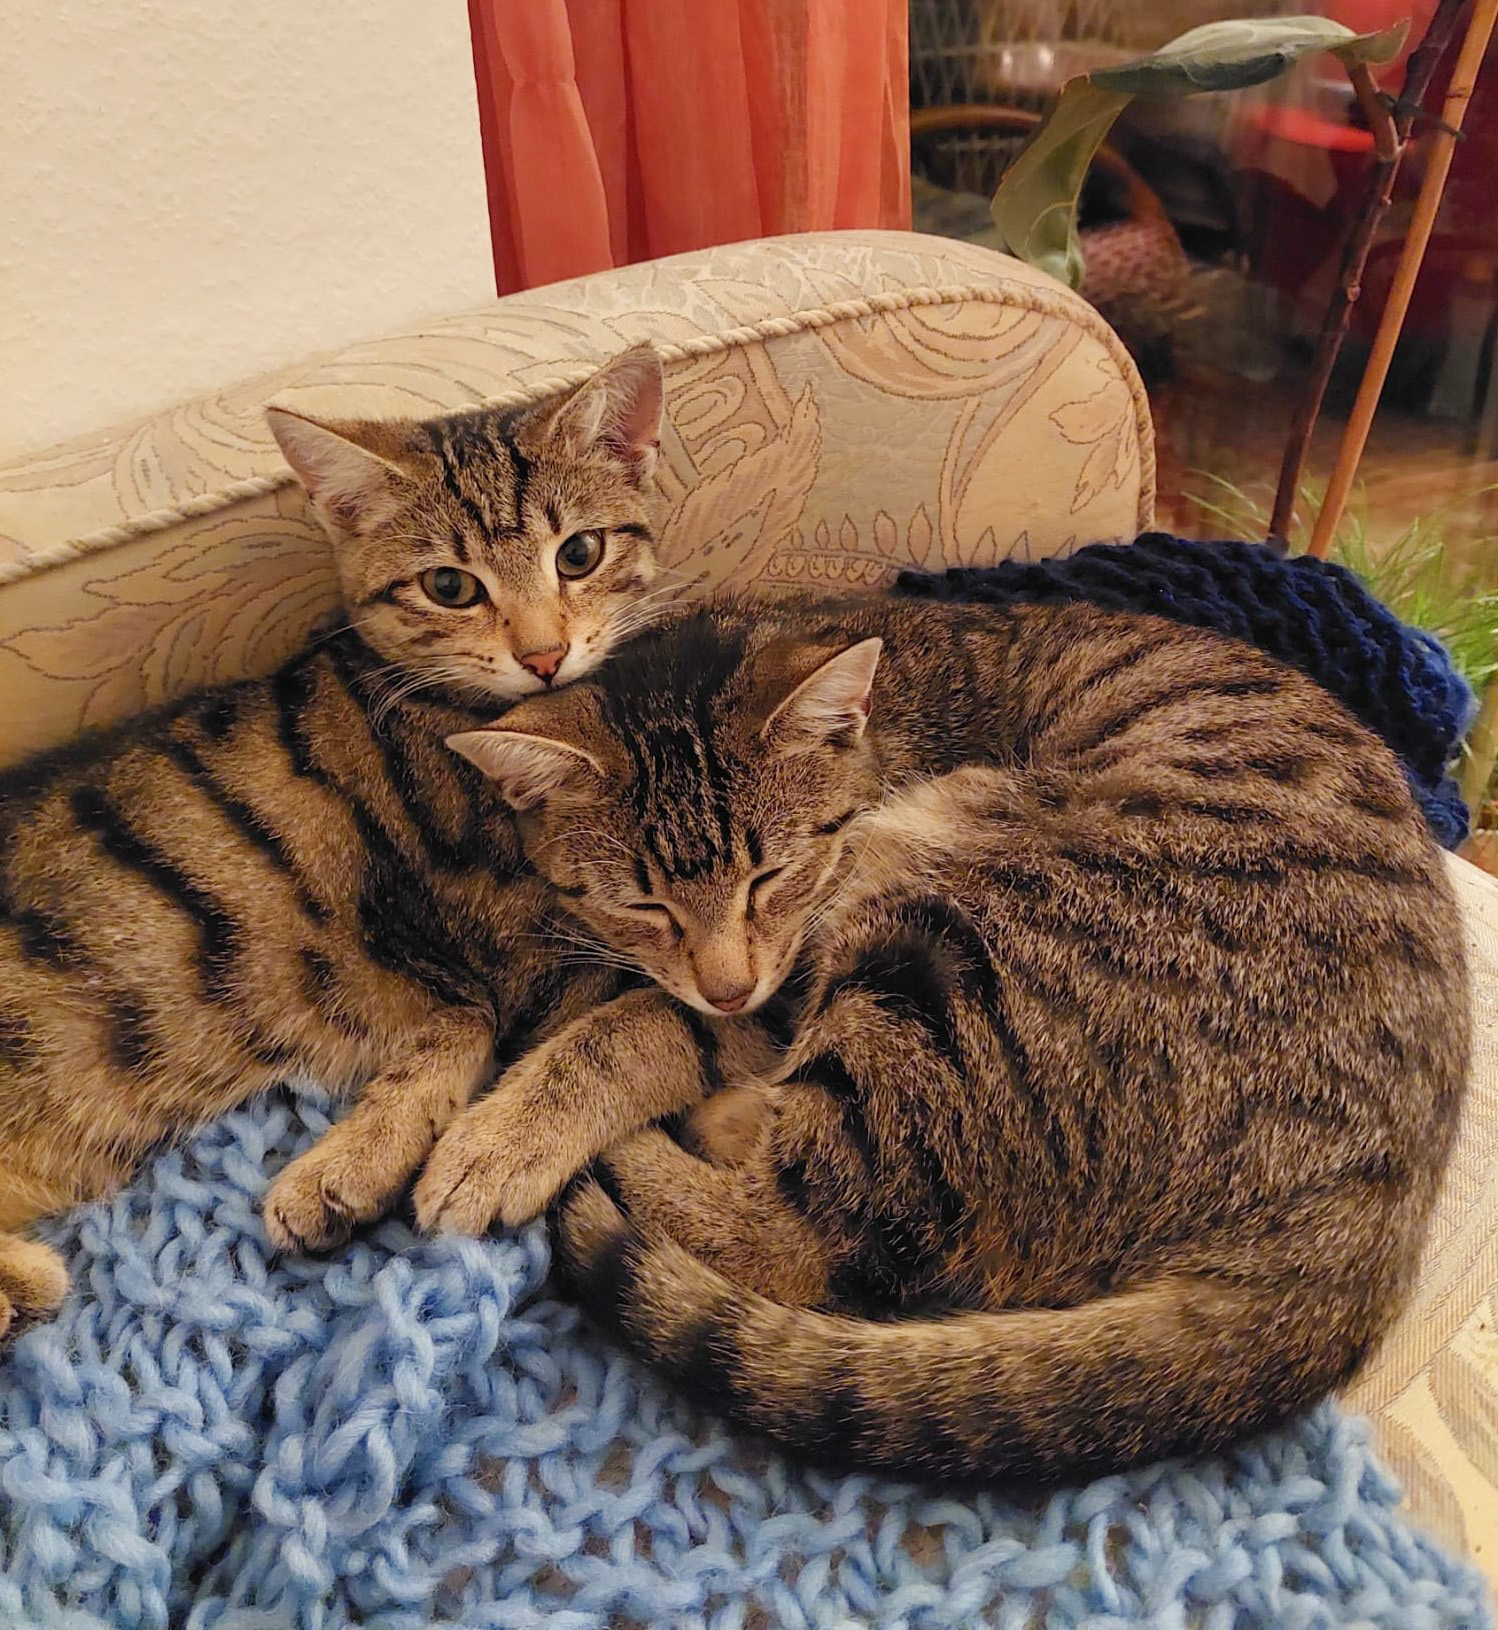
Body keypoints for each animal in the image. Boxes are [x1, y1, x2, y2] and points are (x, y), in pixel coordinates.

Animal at [0, 345, 664, 1338]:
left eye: (579, 553)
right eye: (449, 586)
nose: (545, 655)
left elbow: (478, 1027)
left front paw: (363, 1162)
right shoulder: (511, 948)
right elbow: (529, 1019)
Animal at [431, 591, 1470, 1483]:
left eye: (772, 877)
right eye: (644, 903)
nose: (728, 982)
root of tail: (1369, 1231)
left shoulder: (787, 977)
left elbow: (639, 1030)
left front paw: (504, 1138)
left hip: (937, 943)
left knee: (791, 1235)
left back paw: (654, 1149)